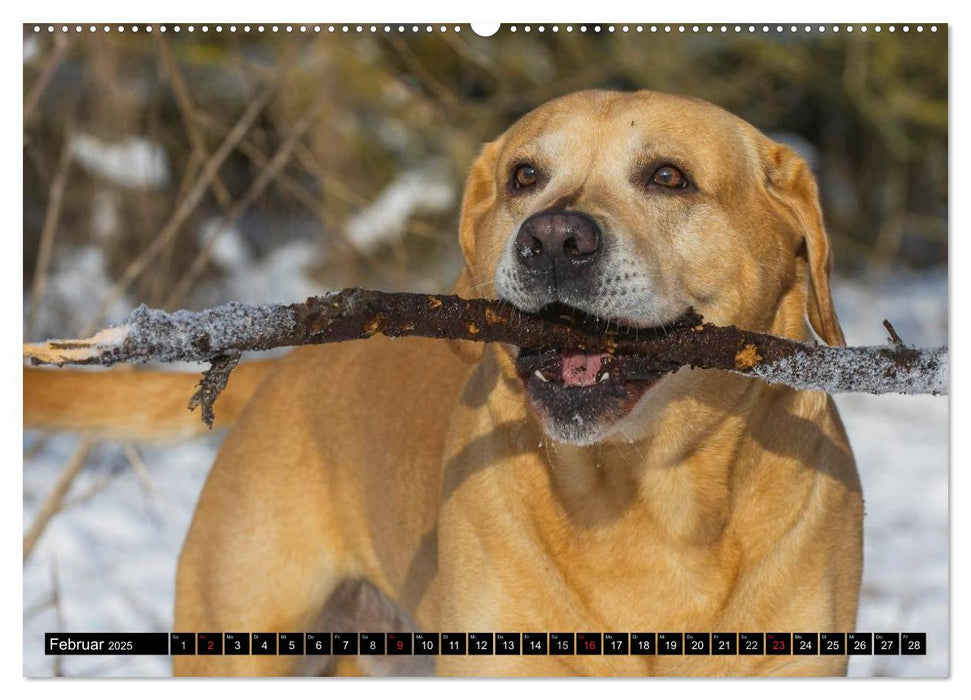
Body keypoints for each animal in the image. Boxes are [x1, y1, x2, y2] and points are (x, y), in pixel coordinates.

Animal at [22, 90, 860, 676]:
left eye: (667, 177)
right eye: (525, 176)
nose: (552, 237)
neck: (647, 494)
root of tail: (288, 366)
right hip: (239, 634)